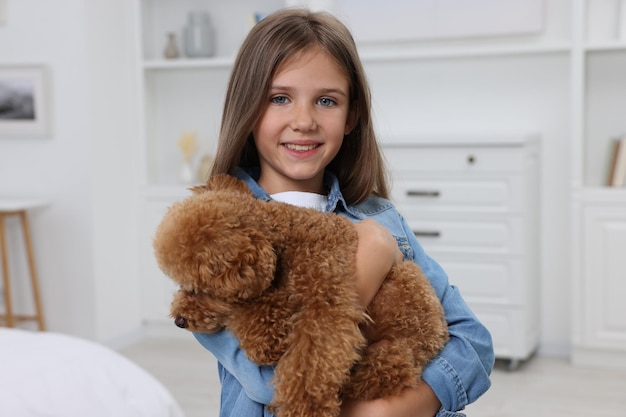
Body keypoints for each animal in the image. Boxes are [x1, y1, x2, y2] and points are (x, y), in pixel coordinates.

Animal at [156, 173, 448, 416]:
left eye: (198, 288)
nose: (179, 321)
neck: (286, 239)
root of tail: (435, 337)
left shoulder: (325, 304)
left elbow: (309, 366)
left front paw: (303, 407)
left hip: (405, 301)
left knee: (390, 369)